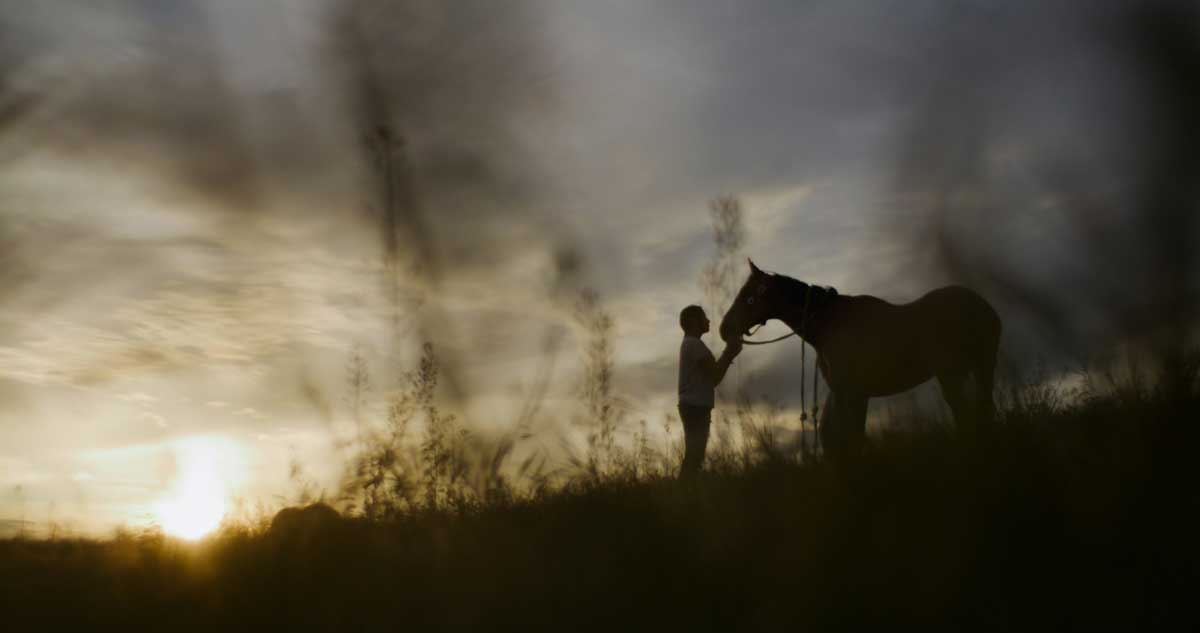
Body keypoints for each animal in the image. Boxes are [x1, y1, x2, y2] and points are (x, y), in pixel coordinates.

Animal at [720, 260, 1003, 457]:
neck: (830, 326)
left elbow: (853, 439)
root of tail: (981, 303)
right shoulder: (847, 394)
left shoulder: (855, 394)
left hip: (967, 369)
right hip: (966, 370)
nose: (724, 329)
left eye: (749, 298)